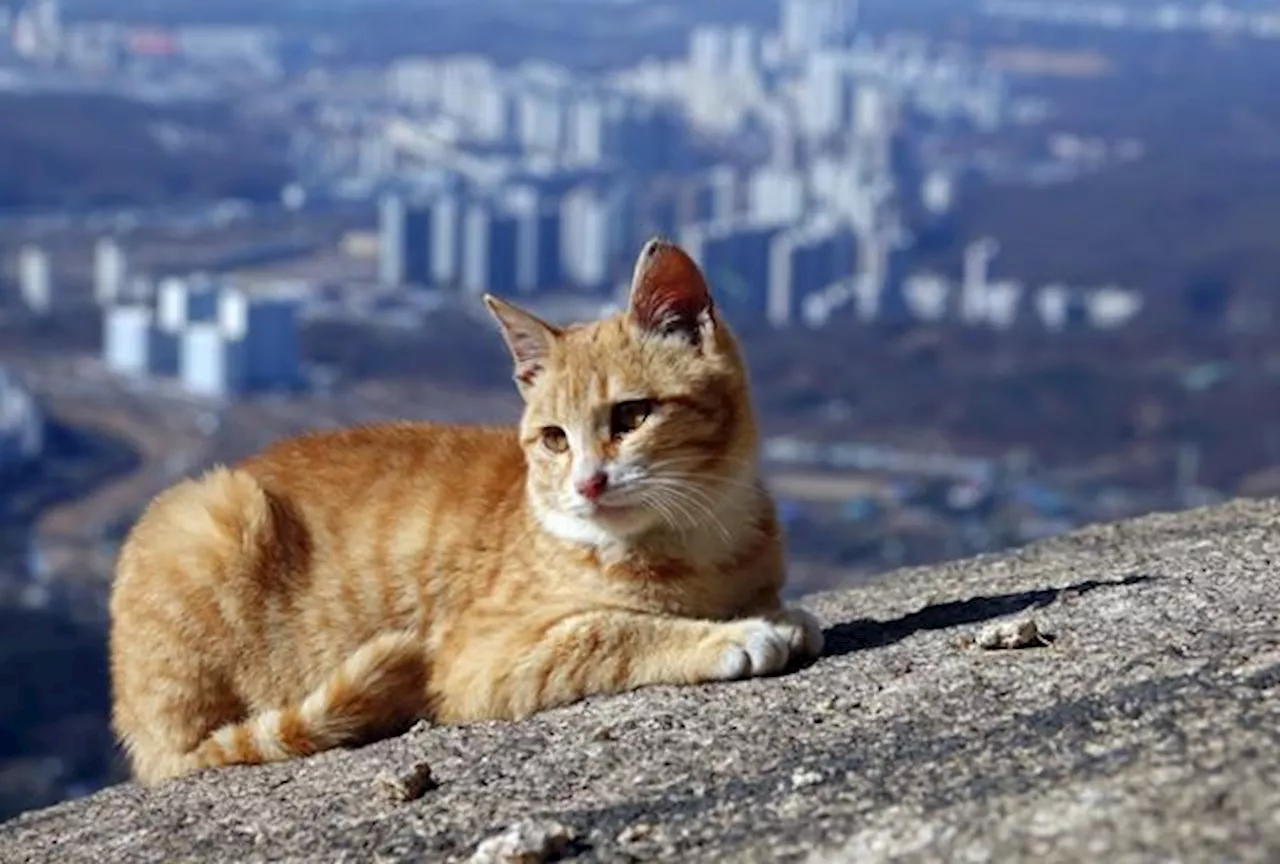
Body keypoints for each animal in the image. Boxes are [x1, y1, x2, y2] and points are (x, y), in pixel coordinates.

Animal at [112, 236, 829, 783]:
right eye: (554, 439)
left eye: (631, 415)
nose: (588, 484)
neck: (697, 539)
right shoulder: (479, 659)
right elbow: (611, 631)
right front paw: (732, 635)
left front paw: (774, 613)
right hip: (213, 514)